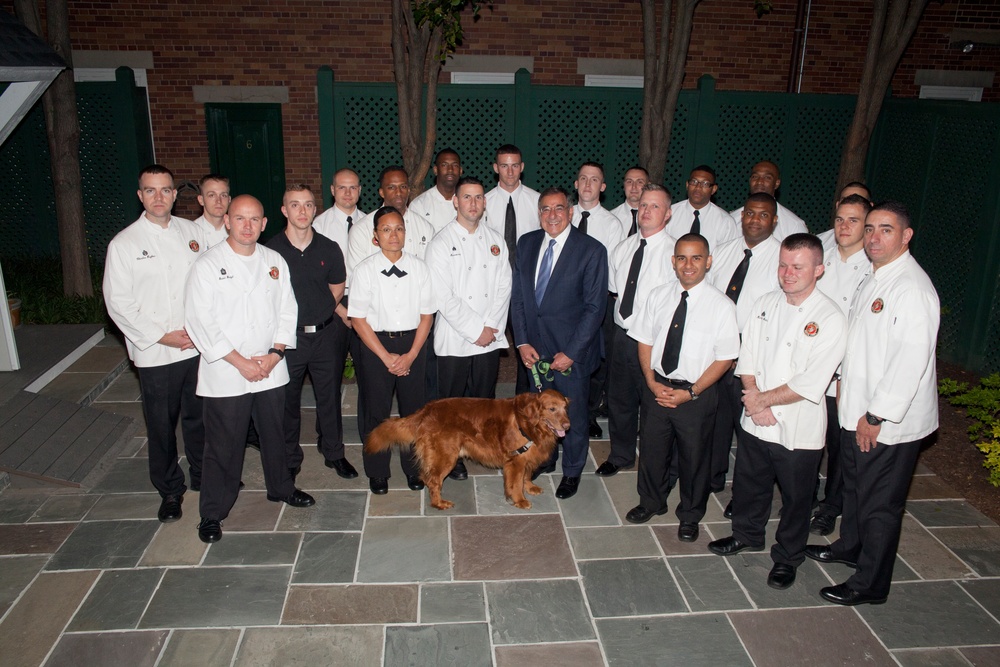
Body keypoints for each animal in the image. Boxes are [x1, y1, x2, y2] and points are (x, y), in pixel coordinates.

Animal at [366, 388, 572, 508]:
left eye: (565, 408)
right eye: (552, 409)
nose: (568, 425)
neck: (528, 423)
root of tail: (427, 409)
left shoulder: (526, 458)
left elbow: (526, 476)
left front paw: (529, 487)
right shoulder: (515, 460)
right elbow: (515, 483)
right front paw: (519, 500)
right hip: (446, 455)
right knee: (432, 479)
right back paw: (439, 503)